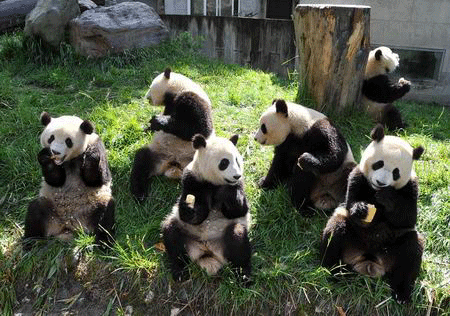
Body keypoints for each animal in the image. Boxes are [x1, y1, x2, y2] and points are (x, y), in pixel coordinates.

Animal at [23, 113, 115, 249]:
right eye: (51, 138)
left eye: (68, 141)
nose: (55, 152)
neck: (70, 160)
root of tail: (69, 225)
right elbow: (54, 180)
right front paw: (46, 157)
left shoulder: (97, 145)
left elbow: (97, 179)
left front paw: (91, 156)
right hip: (51, 208)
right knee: (35, 211)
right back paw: (30, 243)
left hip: (93, 206)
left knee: (105, 215)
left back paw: (104, 244)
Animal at [162, 134, 253, 284]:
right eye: (224, 162)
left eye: (237, 160)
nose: (236, 176)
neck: (215, 183)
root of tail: (207, 251)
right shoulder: (192, 180)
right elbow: (196, 214)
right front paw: (190, 209)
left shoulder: (239, 185)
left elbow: (239, 210)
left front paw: (232, 195)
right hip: (188, 236)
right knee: (172, 234)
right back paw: (179, 271)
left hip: (224, 242)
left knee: (238, 239)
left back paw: (244, 275)